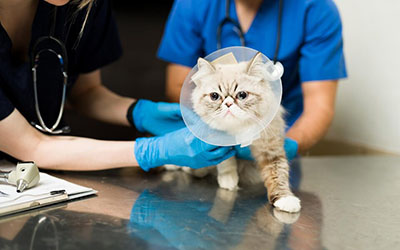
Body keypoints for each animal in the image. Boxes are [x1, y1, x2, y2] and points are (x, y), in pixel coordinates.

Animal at [173, 52, 300, 213]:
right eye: (215, 96)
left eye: (242, 95)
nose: (228, 104)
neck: (236, 130)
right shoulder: (218, 143)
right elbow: (226, 161)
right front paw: (229, 181)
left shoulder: (271, 150)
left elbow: (278, 175)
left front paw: (286, 200)